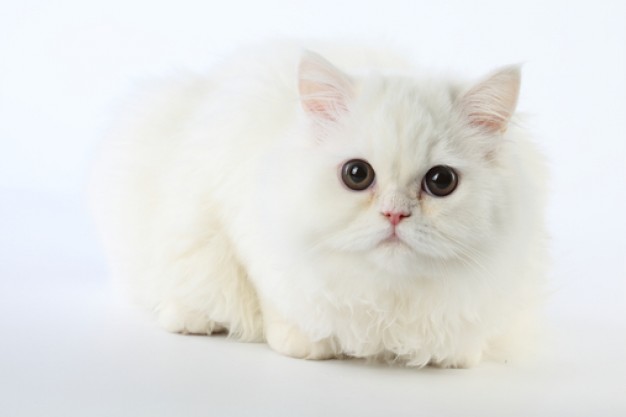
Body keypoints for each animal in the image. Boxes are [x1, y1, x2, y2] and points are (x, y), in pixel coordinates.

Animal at [91, 42, 544, 368]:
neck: (386, 294)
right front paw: (305, 345)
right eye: (357, 175)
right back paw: (191, 320)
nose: (394, 214)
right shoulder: (248, 233)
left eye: (441, 182)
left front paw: (455, 357)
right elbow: (281, 305)